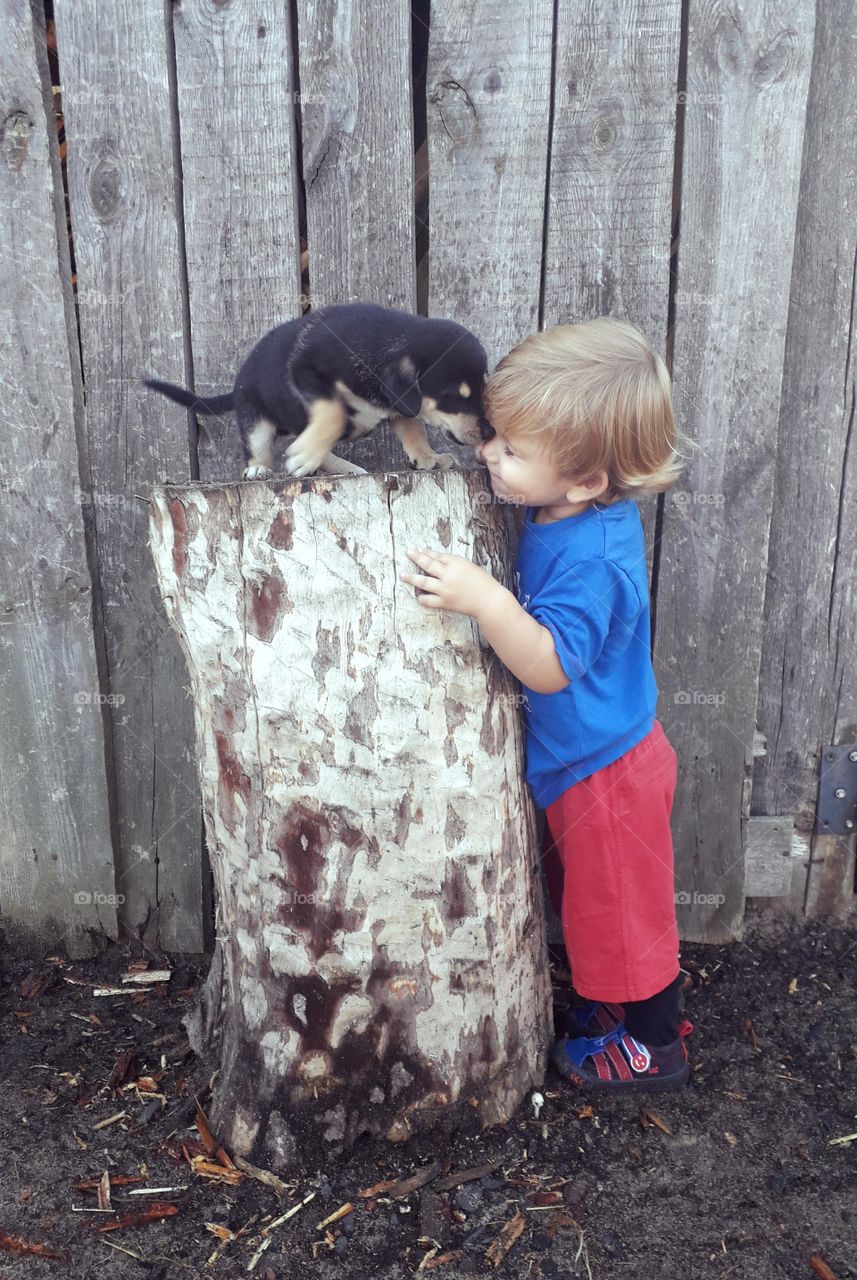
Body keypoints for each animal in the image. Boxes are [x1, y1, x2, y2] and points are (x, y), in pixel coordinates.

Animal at [145, 303, 491, 481]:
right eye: (455, 396)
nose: (489, 432)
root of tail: (237, 383)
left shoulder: (399, 403)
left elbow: (415, 428)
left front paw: (428, 458)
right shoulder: (306, 370)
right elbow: (333, 412)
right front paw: (304, 454)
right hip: (255, 417)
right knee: (260, 445)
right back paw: (265, 466)